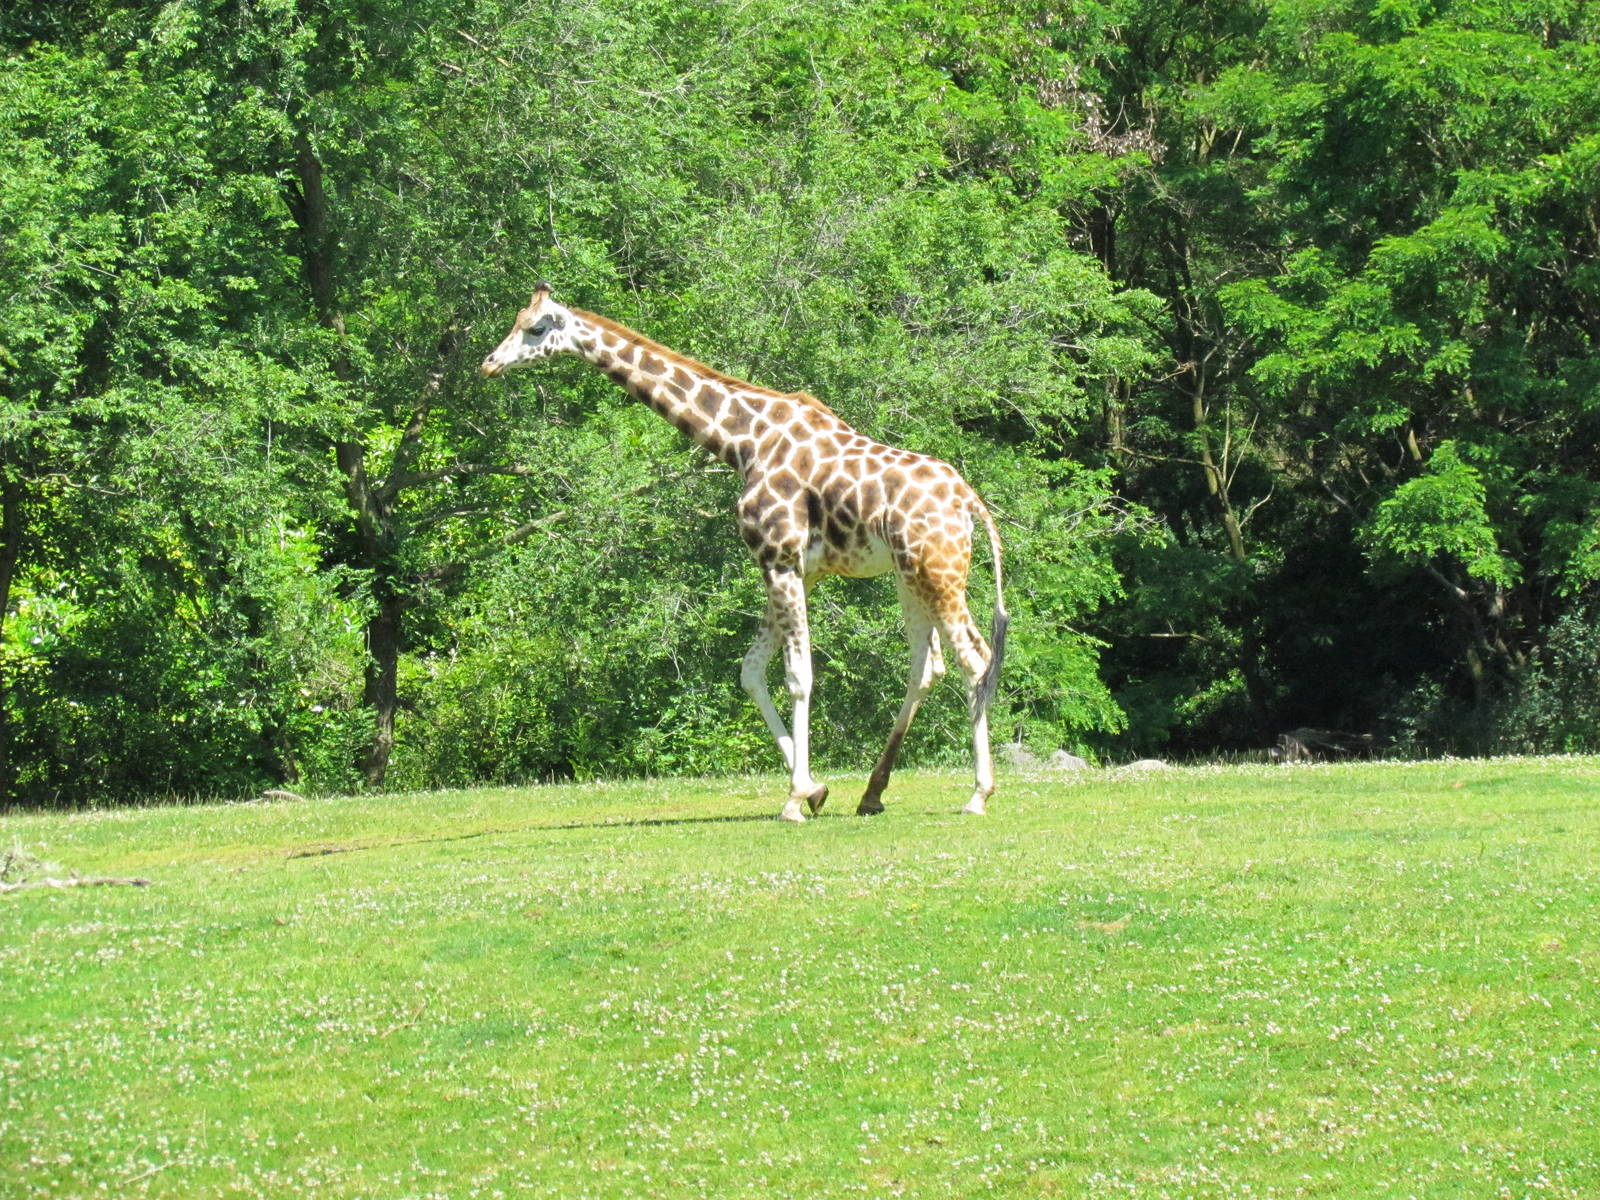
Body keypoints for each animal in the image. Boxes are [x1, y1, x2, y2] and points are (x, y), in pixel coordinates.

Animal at [480, 284, 1009, 822]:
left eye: (535, 328)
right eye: (517, 320)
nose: (489, 364)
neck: (744, 441)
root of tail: (970, 502)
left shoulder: (778, 558)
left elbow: (798, 675)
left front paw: (795, 798)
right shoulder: (797, 568)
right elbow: (751, 671)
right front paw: (814, 789)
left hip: (938, 569)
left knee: (974, 658)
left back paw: (978, 794)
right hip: (909, 573)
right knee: (927, 665)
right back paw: (873, 792)